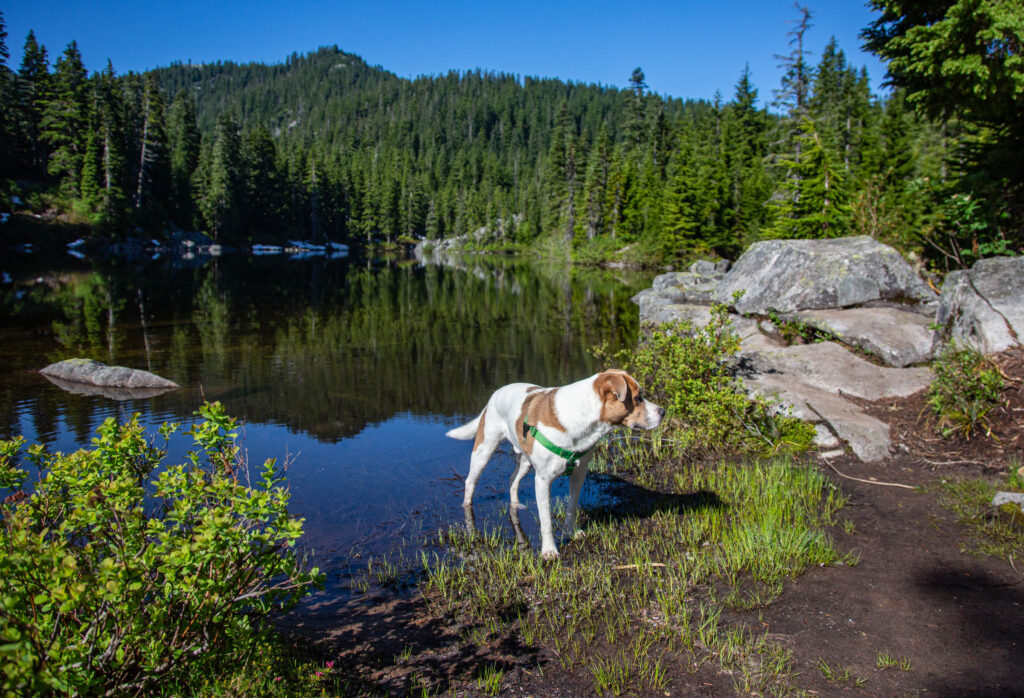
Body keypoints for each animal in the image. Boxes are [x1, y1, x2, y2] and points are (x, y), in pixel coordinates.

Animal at [446, 366, 663, 556]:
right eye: (638, 397)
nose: (663, 411)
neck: (581, 417)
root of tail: (495, 394)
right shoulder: (543, 480)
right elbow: (546, 520)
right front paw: (549, 551)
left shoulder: (578, 474)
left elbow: (571, 508)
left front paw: (571, 533)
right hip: (484, 450)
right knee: (470, 481)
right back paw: (467, 510)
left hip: (525, 461)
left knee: (513, 479)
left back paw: (515, 503)